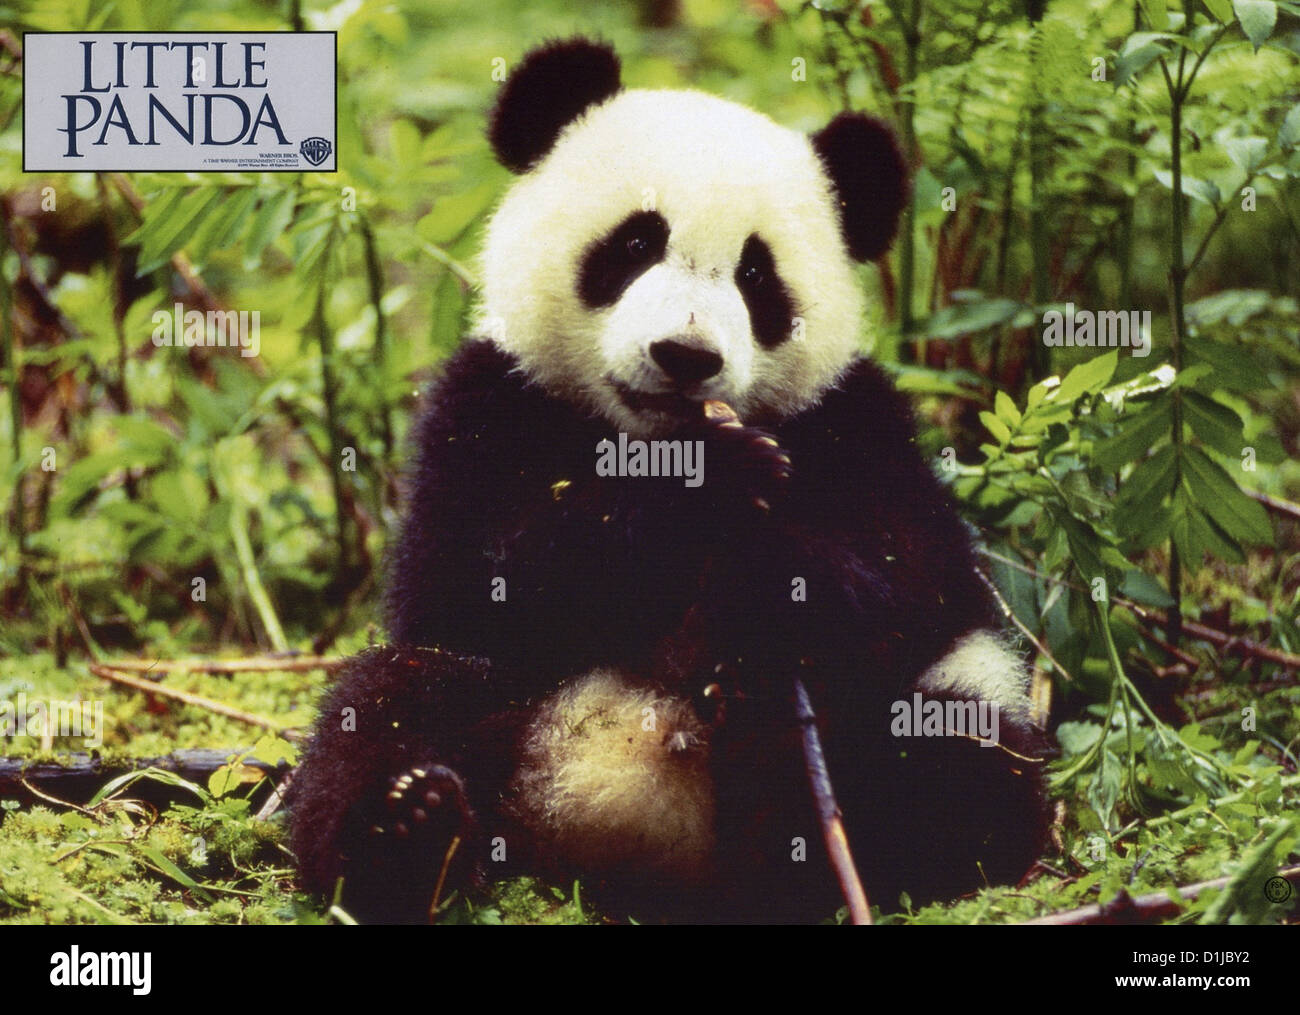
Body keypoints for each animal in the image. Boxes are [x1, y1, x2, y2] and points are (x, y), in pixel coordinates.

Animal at [290, 37, 1049, 924]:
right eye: (634, 245)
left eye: (757, 276)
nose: (685, 357)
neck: (650, 439)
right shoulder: (488, 403)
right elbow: (466, 579)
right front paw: (706, 490)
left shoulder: (860, 426)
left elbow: (908, 587)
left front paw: (761, 570)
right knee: (393, 699)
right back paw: (409, 827)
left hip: (935, 716)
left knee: (954, 760)